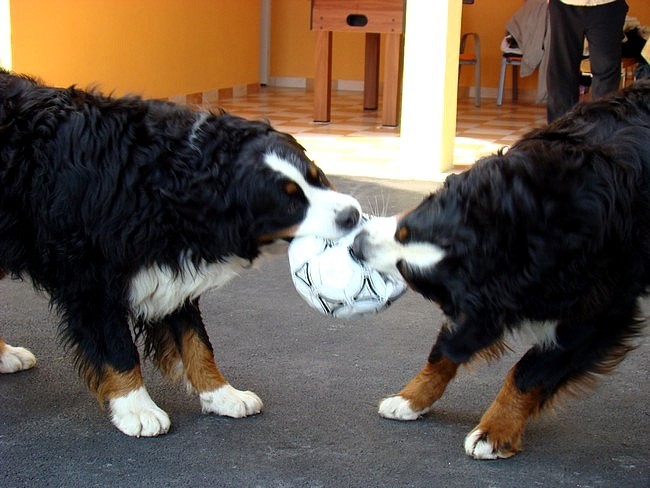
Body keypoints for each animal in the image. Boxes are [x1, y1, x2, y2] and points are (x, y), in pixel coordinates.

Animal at [0, 70, 362, 436]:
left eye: (317, 177)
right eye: (290, 204)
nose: (352, 214)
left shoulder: (168, 266)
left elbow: (197, 342)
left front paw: (222, 394)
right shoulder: (91, 278)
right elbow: (118, 347)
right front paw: (136, 407)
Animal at [352, 82, 644, 460]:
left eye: (409, 273)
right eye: (405, 230)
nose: (355, 245)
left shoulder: (602, 313)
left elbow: (529, 371)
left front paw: (494, 430)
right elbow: (444, 350)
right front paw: (410, 398)